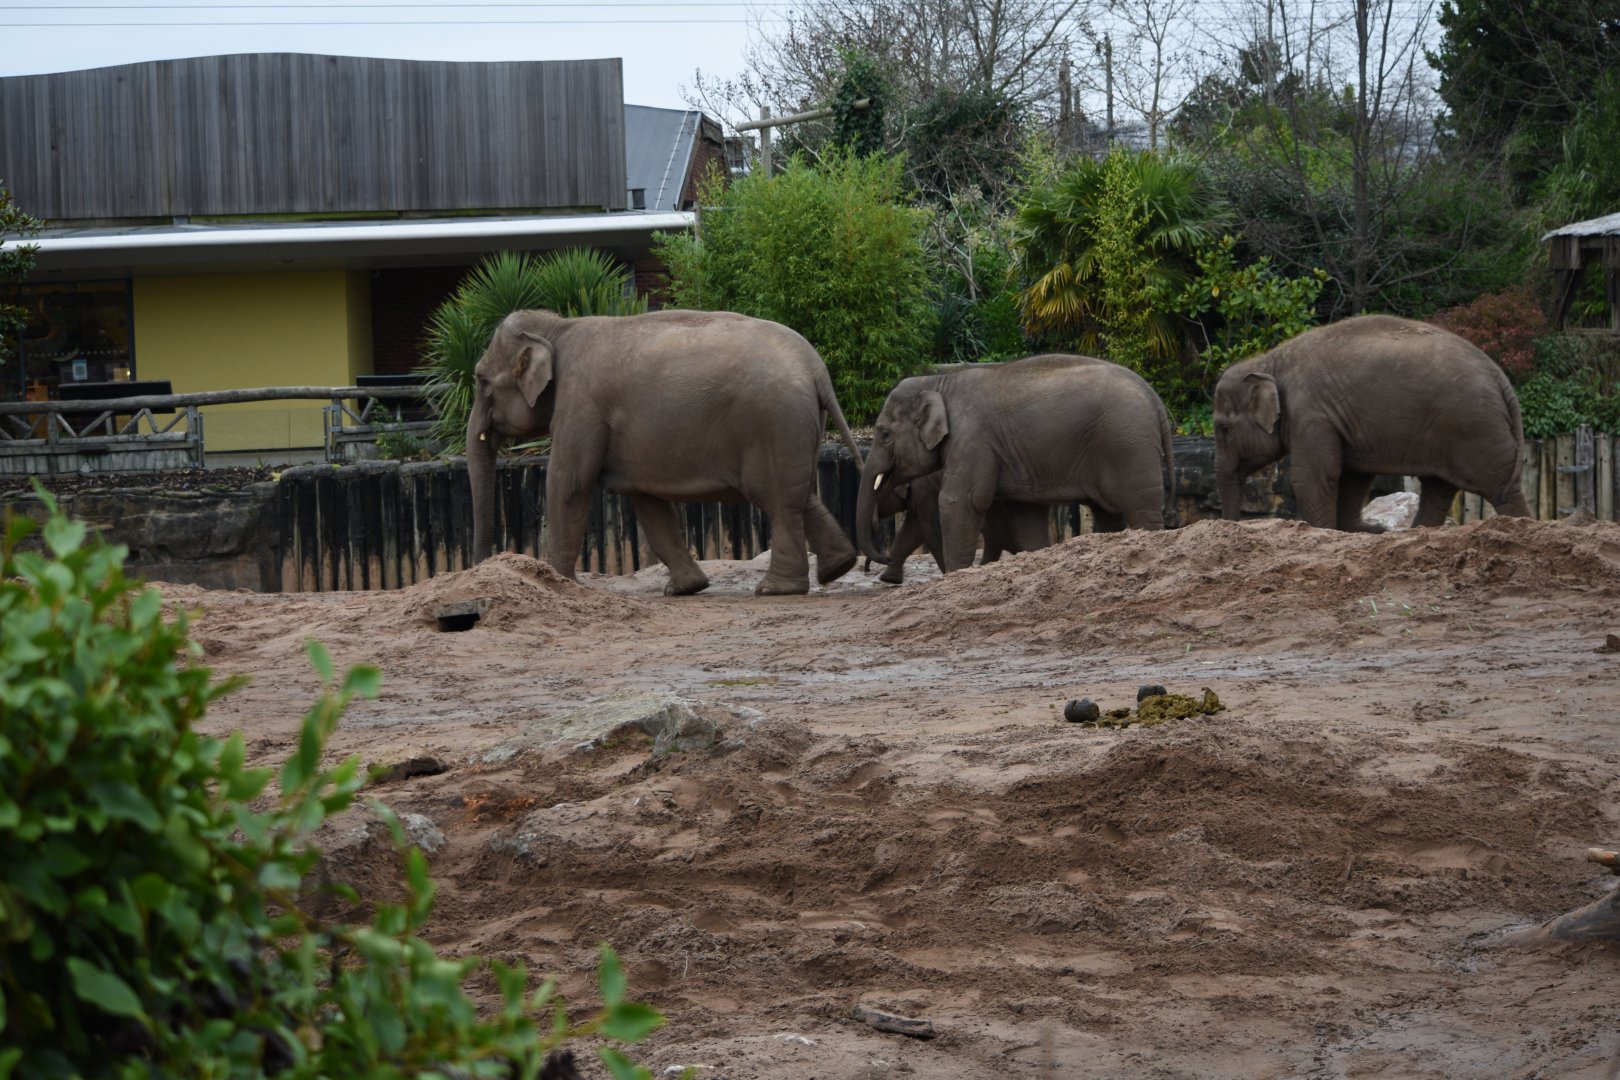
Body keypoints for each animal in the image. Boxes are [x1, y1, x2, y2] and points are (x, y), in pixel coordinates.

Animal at [467, 308, 865, 595]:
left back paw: (774, 590)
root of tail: (816, 369)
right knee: (800, 494)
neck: (557, 327)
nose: (480, 569)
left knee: (777, 499)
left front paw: (558, 584)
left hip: (772, 423)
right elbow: (646, 501)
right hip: (793, 428)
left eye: (481, 381)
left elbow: (569, 485)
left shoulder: (580, 405)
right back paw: (838, 567)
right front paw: (686, 589)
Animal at [1212, 314, 1531, 530]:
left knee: (1499, 484)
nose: (1232, 525)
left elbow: (1313, 476)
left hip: (1474, 428)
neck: (1270, 361)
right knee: (1439, 488)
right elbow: (1352, 477)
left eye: (1224, 429)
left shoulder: (1311, 413)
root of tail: (1500, 377)